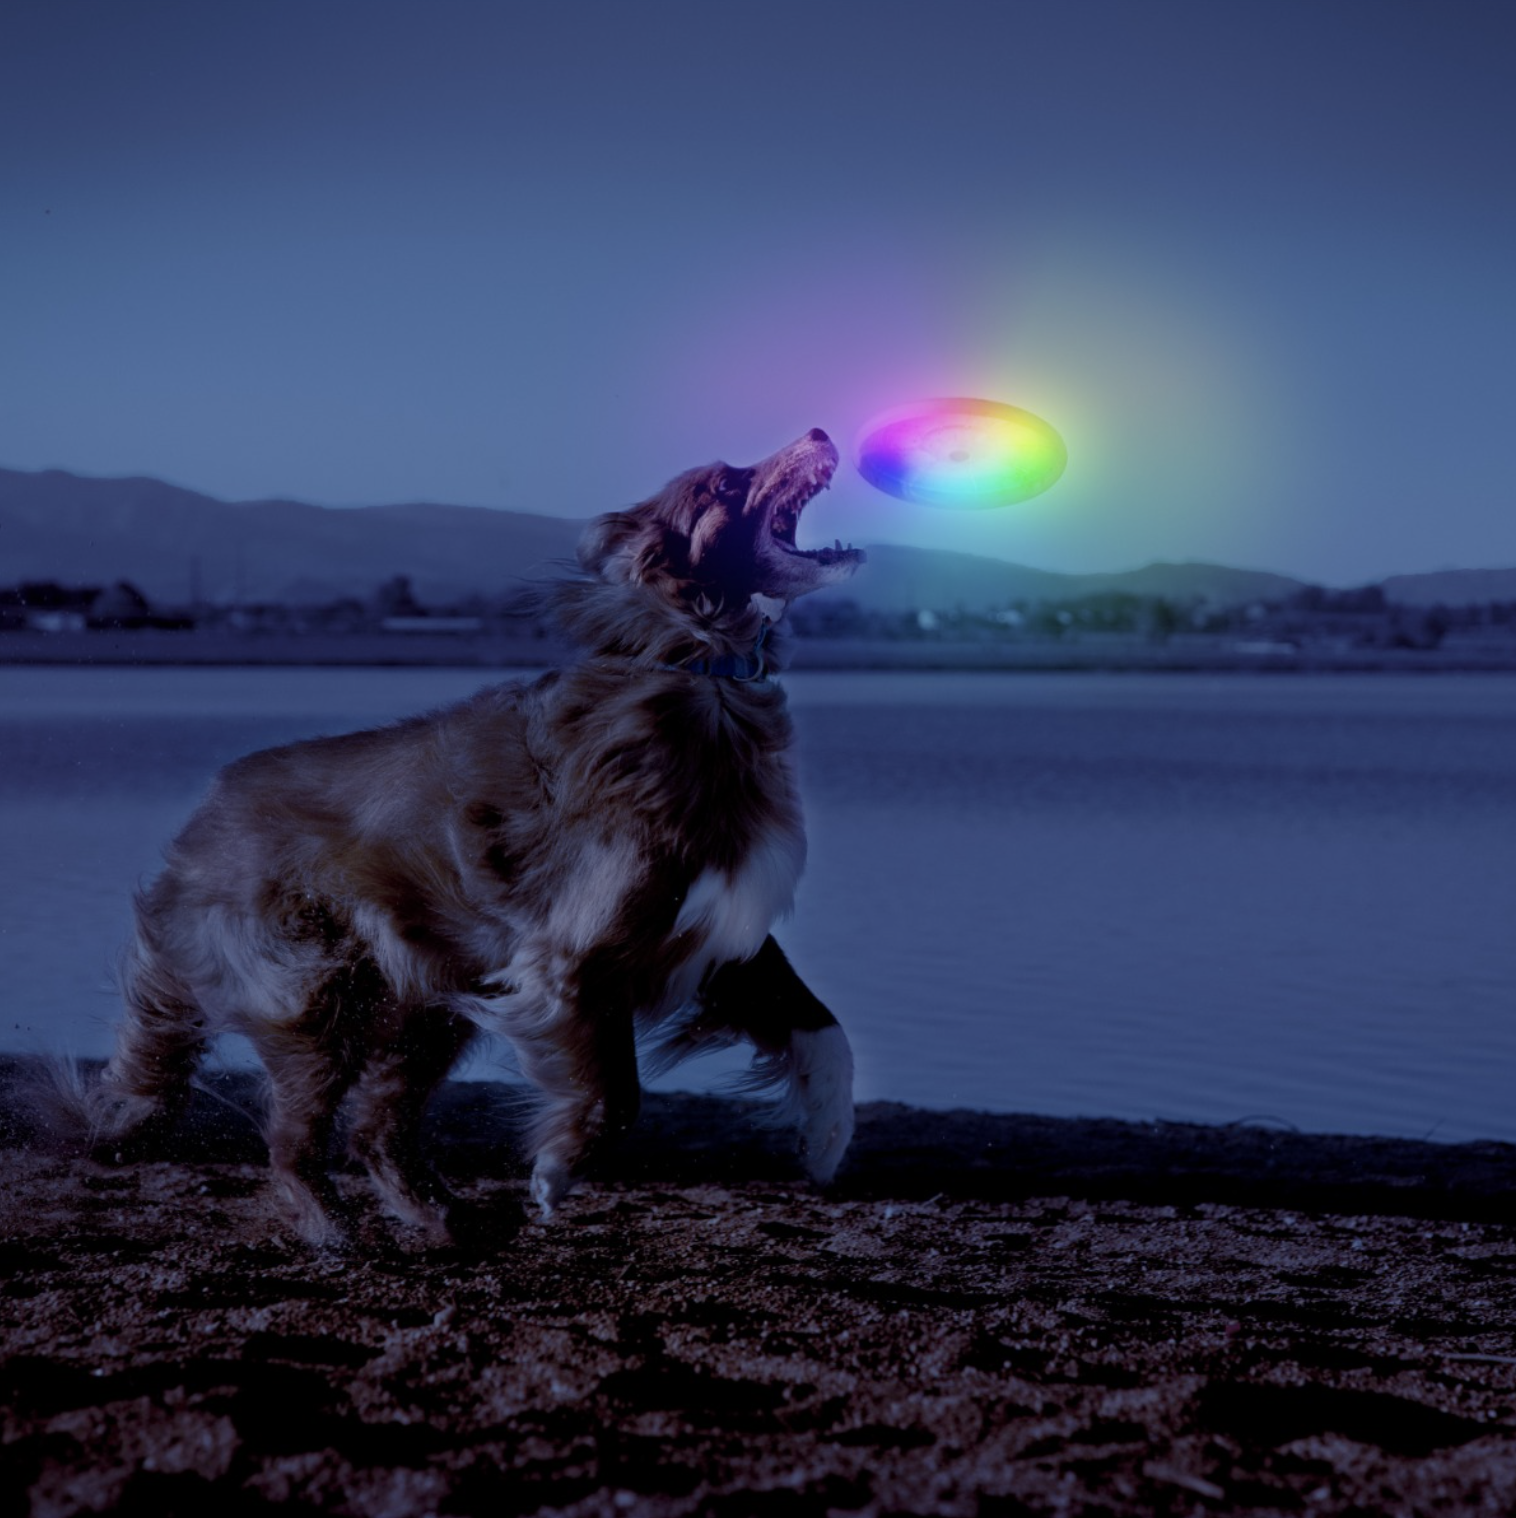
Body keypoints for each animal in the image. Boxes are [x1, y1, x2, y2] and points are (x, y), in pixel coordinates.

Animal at [71, 428, 868, 1244]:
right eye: (724, 484)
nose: (820, 432)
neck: (699, 669)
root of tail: (200, 822)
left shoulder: (719, 931)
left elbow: (822, 1027)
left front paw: (827, 1138)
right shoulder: (577, 955)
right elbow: (617, 1095)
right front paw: (557, 1169)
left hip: (425, 1001)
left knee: (376, 1130)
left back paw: (444, 1216)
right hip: (315, 991)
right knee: (296, 1137)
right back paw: (334, 1227)